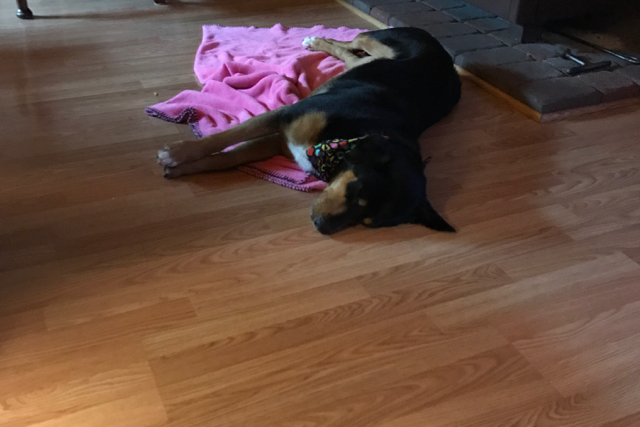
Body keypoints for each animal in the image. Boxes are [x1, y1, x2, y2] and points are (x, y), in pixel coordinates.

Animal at [157, 27, 461, 235]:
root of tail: (447, 57)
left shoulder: (281, 141)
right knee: (354, 41)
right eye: (356, 191)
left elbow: (228, 157)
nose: (321, 227)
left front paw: (180, 168)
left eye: (367, 222)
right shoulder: (284, 117)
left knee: (353, 58)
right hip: (380, 40)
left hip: (368, 61)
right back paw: (315, 40)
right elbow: (226, 138)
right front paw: (177, 153)